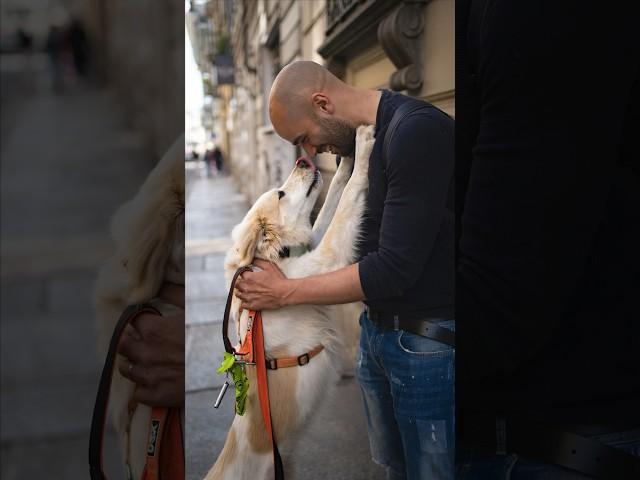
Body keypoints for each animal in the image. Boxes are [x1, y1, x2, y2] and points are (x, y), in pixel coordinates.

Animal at [205, 125, 376, 478]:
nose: (302, 160)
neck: (276, 258)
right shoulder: (325, 261)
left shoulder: (313, 249)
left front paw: (346, 160)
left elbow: (333, 198)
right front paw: (364, 143)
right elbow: (348, 200)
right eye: (281, 194)